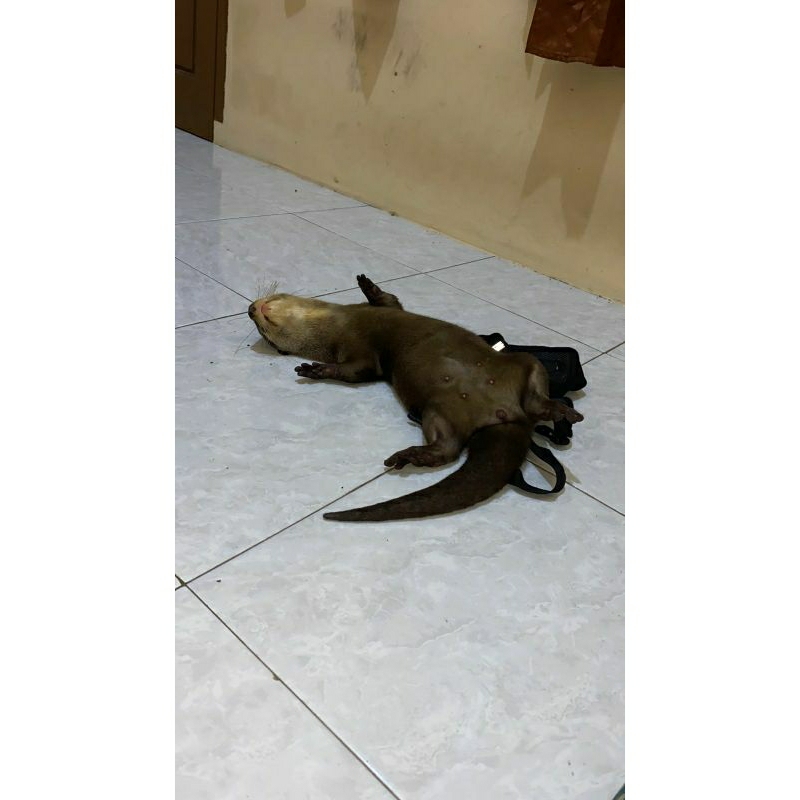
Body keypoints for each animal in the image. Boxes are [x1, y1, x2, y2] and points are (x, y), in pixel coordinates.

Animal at [247, 274, 583, 522]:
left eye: (263, 326)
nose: (251, 310)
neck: (340, 323)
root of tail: (507, 415)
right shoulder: (358, 353)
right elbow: (358, 370)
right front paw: (315, 369)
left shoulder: (382, 316)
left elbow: (387, 301)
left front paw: (365, 282)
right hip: (439, 411)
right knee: (448, 448)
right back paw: (410, 456)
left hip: (521, 364)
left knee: (532, 387)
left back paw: (559, 411)